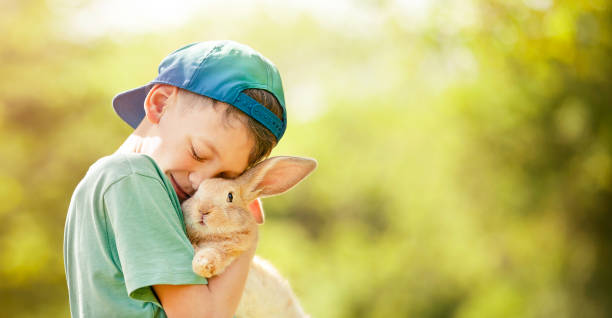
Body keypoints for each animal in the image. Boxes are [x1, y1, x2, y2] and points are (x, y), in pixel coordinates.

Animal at [180, 155, 316, 316]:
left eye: (230, 196)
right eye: (196, 191)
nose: (203, 210)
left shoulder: (229, 250)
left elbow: (213, 254)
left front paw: (202, 266)